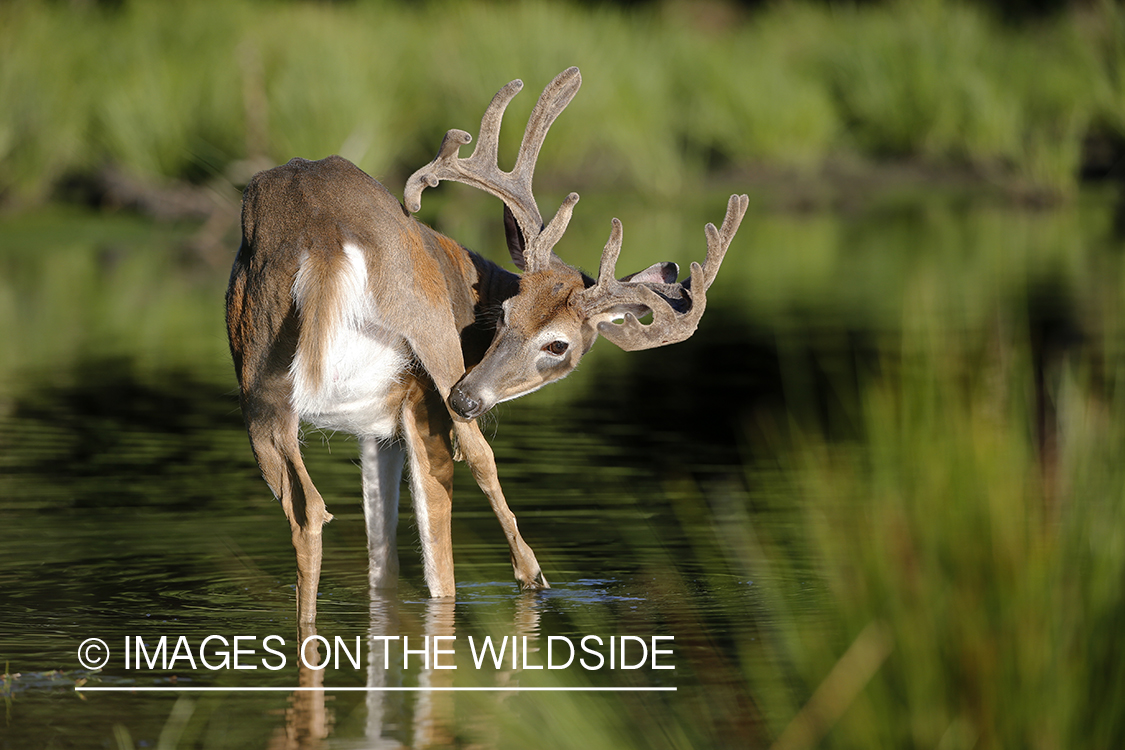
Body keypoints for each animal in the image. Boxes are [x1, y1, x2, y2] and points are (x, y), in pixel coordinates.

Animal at [225, 67, 747, 625]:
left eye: (556, 345)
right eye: (506, 316)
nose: (468, 396)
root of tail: (322, 234)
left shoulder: (376, 430)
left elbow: (381, 560)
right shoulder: (421, 399)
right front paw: (531, 575)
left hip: (258, 376)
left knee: (307, 511)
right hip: (427, 348)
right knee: (461, 501)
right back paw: (529, 571)